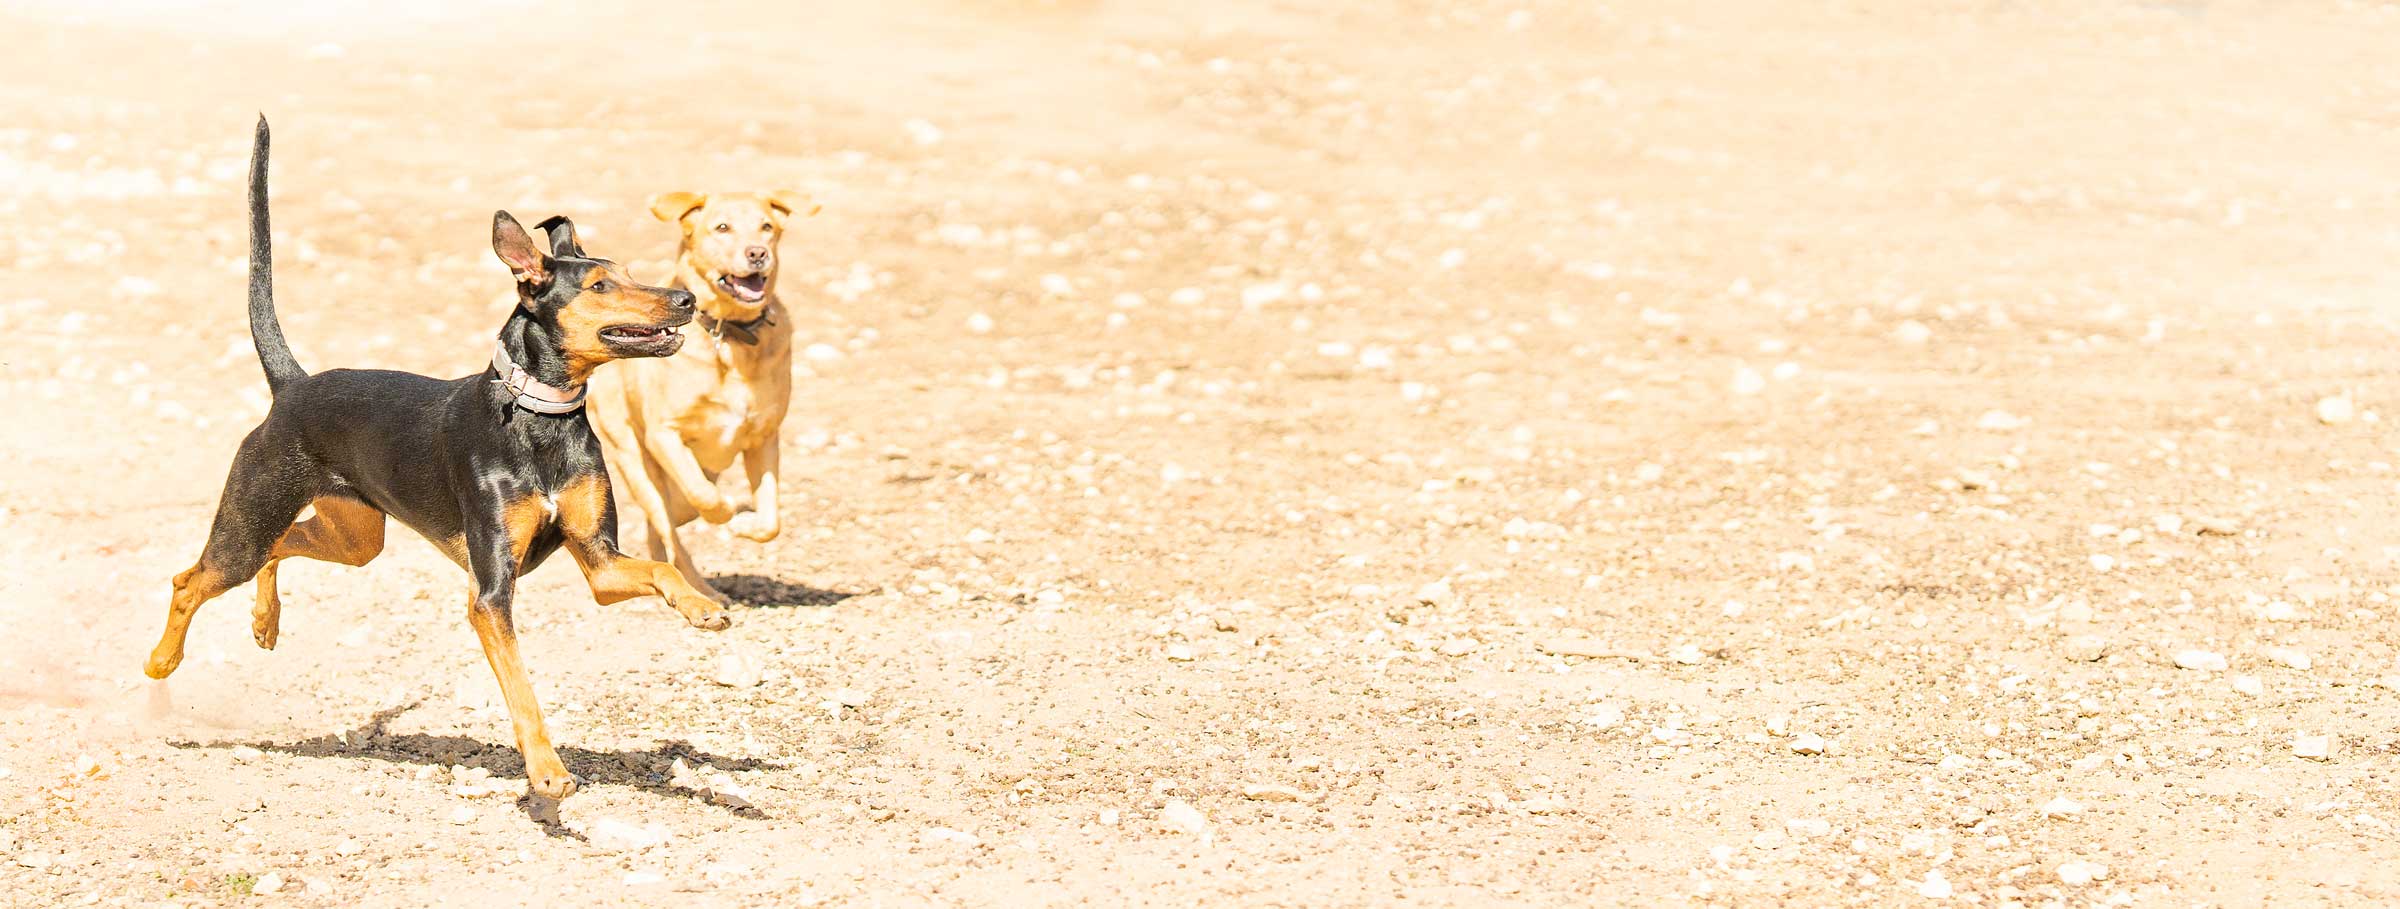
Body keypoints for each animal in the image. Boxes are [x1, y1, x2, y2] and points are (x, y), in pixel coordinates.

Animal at [144, 118, 729, 802]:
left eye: (632, 272)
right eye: (601, 286)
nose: (686, 298)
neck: (538, 417)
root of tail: (292, 386)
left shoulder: (600, 563)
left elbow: (662, 570)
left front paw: (702, 608)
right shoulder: (490, 596)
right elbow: (521, 690)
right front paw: (547, 771)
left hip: (354, 538)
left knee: (280, 546)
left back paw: (266, 621)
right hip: (250, 519)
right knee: (191, 580)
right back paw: (161, 664)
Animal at [585, 191, 815, 602]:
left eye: (766, 227)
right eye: (721, 227)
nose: (757, 253)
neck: (730, 335)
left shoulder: (763, 438)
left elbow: (771, 519)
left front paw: (746, 525)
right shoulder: (665, 434)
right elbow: (705, 496)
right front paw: (731, 512)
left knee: (665, 527)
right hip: (635, 462)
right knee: (670, 530)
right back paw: (703, 591)